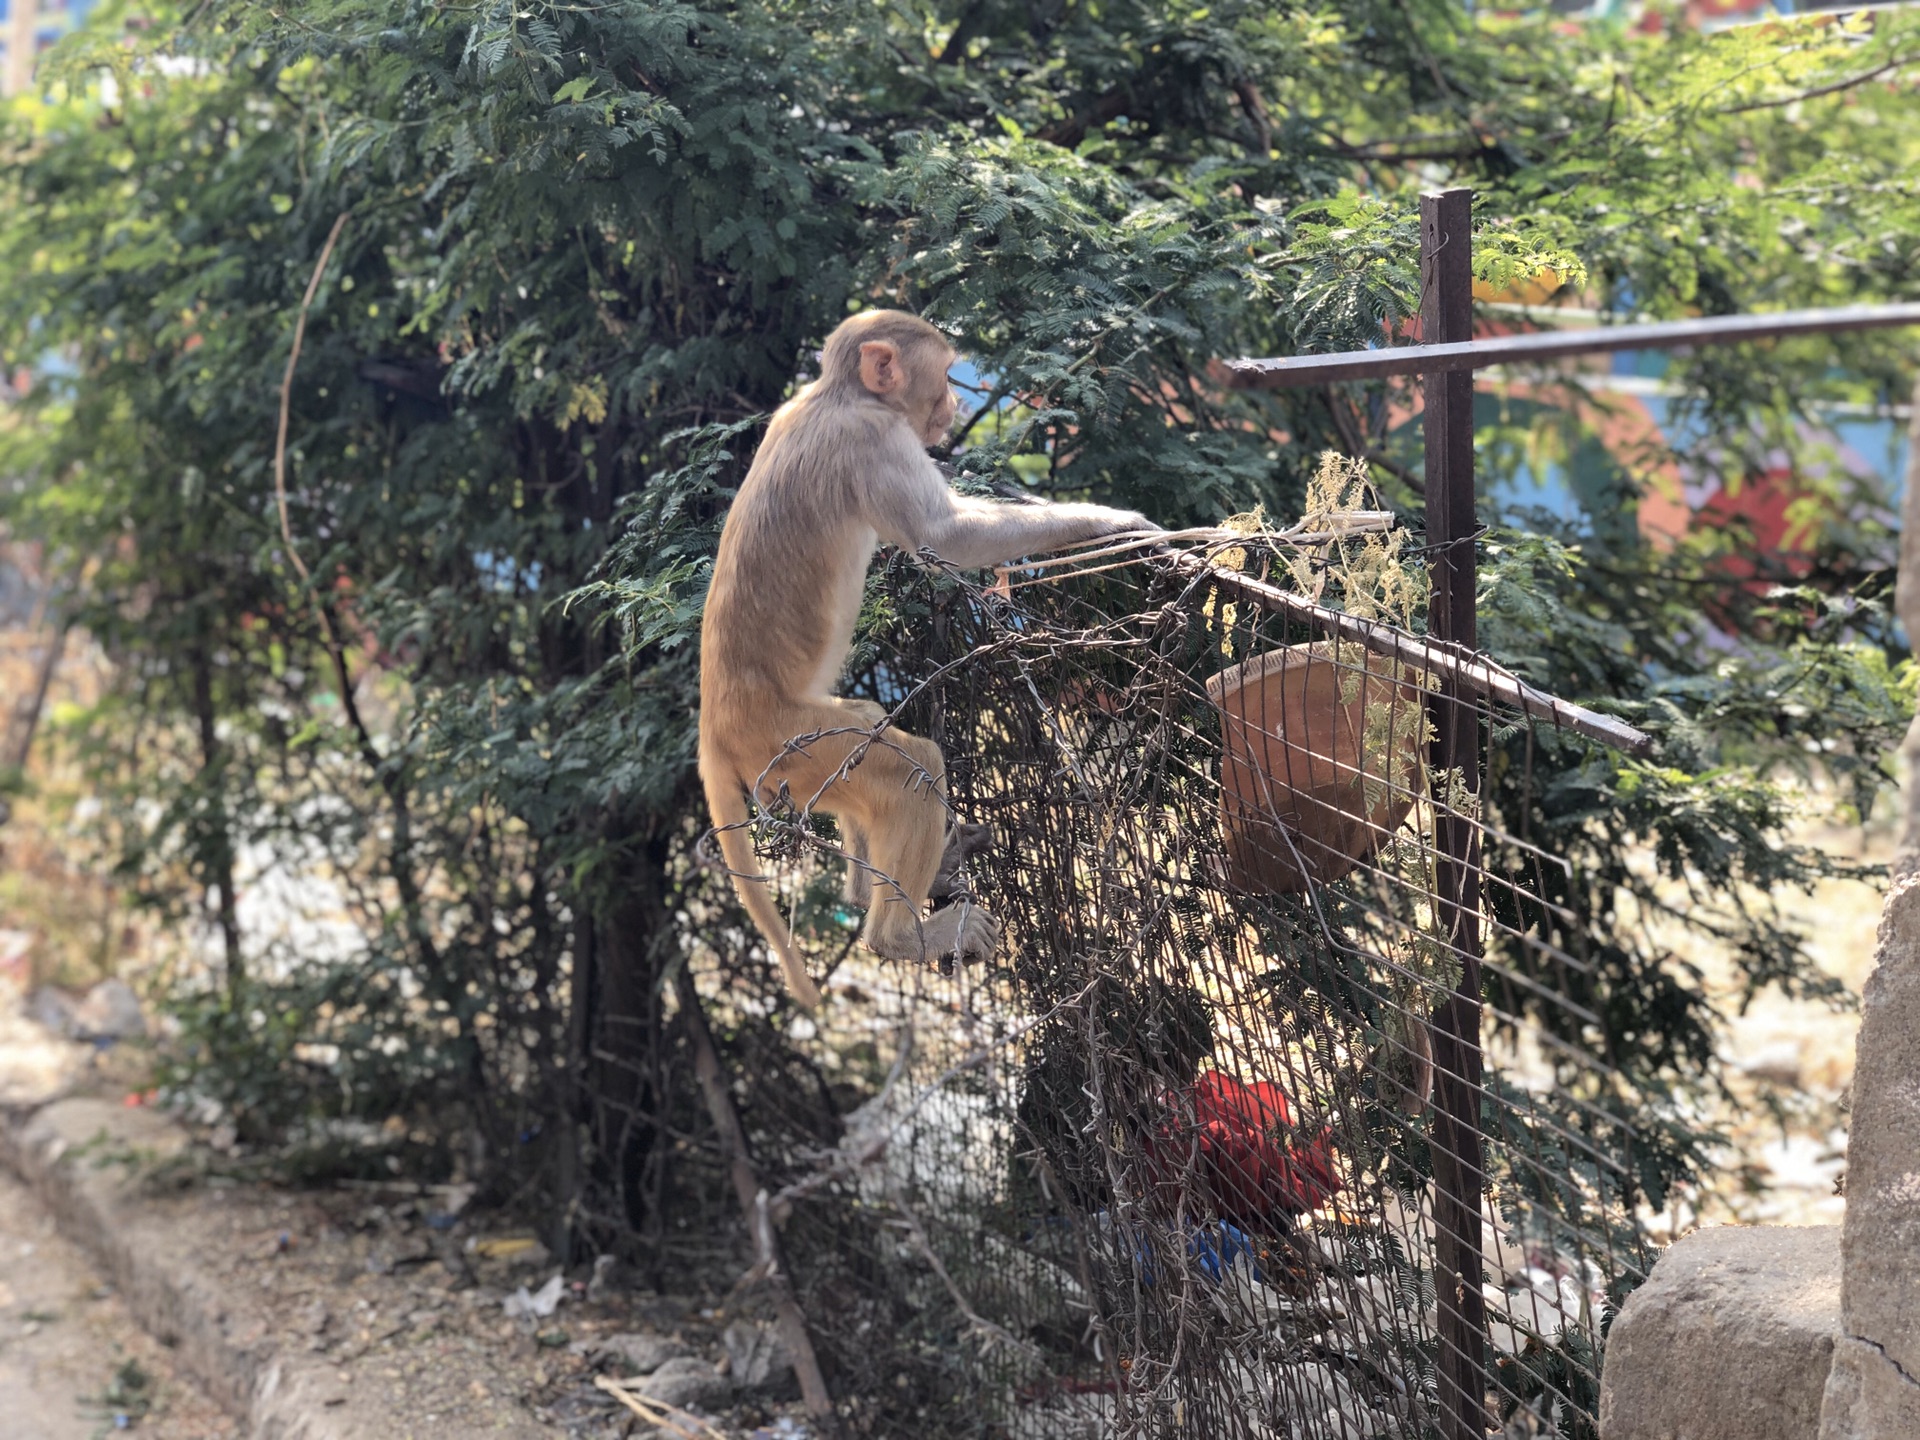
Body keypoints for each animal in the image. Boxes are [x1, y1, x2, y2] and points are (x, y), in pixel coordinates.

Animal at [702, 307, 1152, 1006]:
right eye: (942, 376)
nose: (955, 403)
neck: (836, 396)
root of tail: (714, 731)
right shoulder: (876, 440)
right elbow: (947, 537)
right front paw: (1110, 520)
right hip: (785, 742)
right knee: (909, 769)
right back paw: (899, 935)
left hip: (792, 761)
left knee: (867, 729)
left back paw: (887, 886)